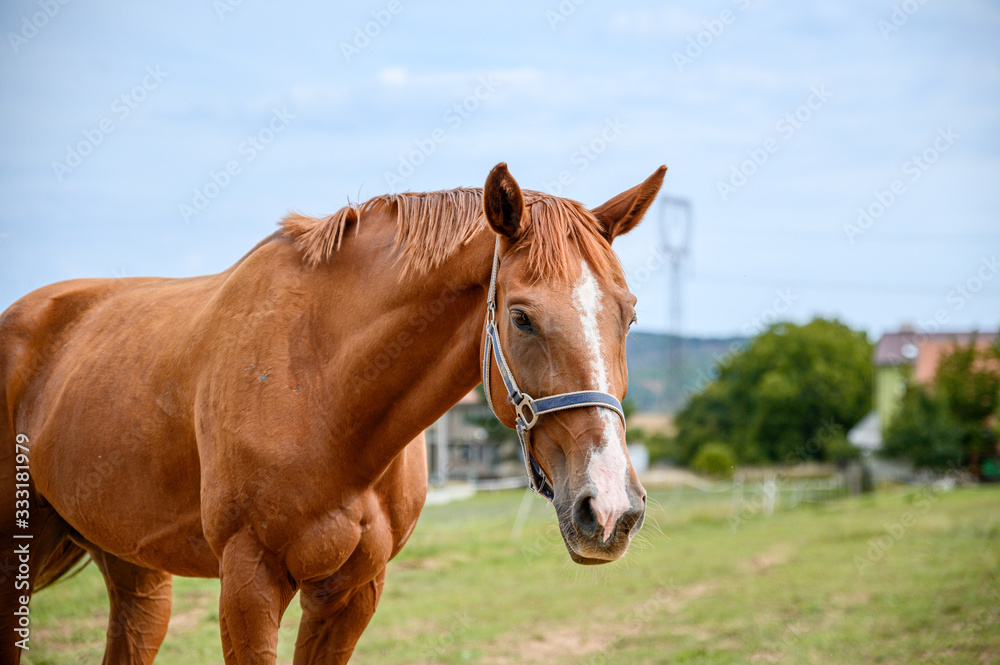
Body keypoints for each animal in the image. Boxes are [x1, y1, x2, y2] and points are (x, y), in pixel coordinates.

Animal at [3, 162, 668, 664]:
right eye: (522, 317)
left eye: (630, 313)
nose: (610, 509)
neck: (322, 391)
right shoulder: (249, 582)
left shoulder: (352, 592)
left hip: (133, 569)